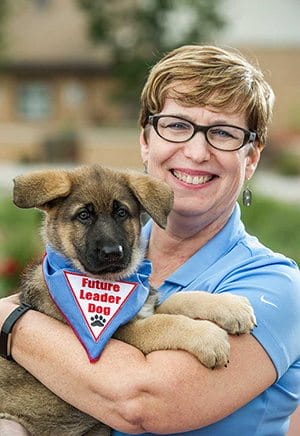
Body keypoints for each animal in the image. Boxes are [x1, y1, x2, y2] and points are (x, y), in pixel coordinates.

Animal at [0, 164, 255, 436]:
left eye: (121, 212)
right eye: (83, 216)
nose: (113, 253)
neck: (110, 283)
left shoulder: (147, 305)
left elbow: (181, 299)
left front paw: (230, 307)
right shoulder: (119, 332)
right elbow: (164, 323)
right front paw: (208, 337)